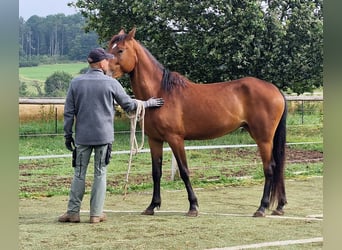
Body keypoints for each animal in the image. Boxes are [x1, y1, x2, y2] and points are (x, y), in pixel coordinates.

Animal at [108, 28, 288, 218]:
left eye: (120, 50)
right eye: (108, 47)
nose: (104, 71)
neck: (161, 92)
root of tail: (275, 90)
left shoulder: (175, 139)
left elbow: (184, 171)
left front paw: (193, 206)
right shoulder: (154, 140)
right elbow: (156, 173)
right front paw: (152, 206)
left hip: (263, 139)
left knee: (270, 168)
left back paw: (261, 208)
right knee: (278, 167)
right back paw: (279, 206)